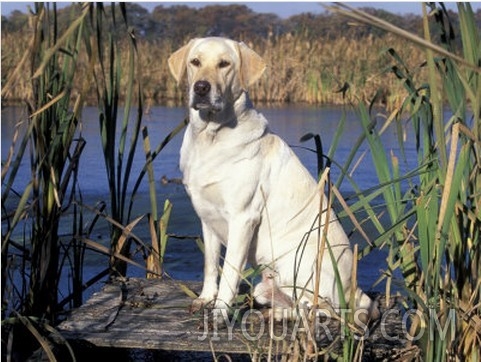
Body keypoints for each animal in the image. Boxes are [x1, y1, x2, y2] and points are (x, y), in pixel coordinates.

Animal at [169, 37, 378, 322]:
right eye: (195, 62)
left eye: (224, 64)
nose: (201, 87)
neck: (210, 138)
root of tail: (355, 291)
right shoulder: (207, 218)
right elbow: (211, 264)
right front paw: (205, 298)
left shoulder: (243, 218)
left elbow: (230, 271)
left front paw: (221, 311)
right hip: (265, 286)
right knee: (294, 305)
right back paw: (272, 314)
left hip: (303, 263)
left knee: (319, 310)